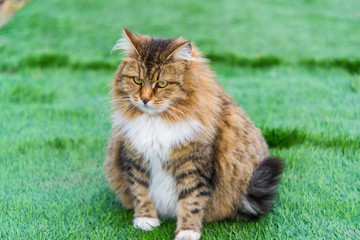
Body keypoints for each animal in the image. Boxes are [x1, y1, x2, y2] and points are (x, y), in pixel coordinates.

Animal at [104, 28, 284, 240]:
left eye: (162, 84)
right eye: (137, 80)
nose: (145, 99)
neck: (157, 120)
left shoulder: (194, 166)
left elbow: (191, 201)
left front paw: (187, 232)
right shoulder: (135, 160)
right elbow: (141, 192)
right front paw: (146, 221)